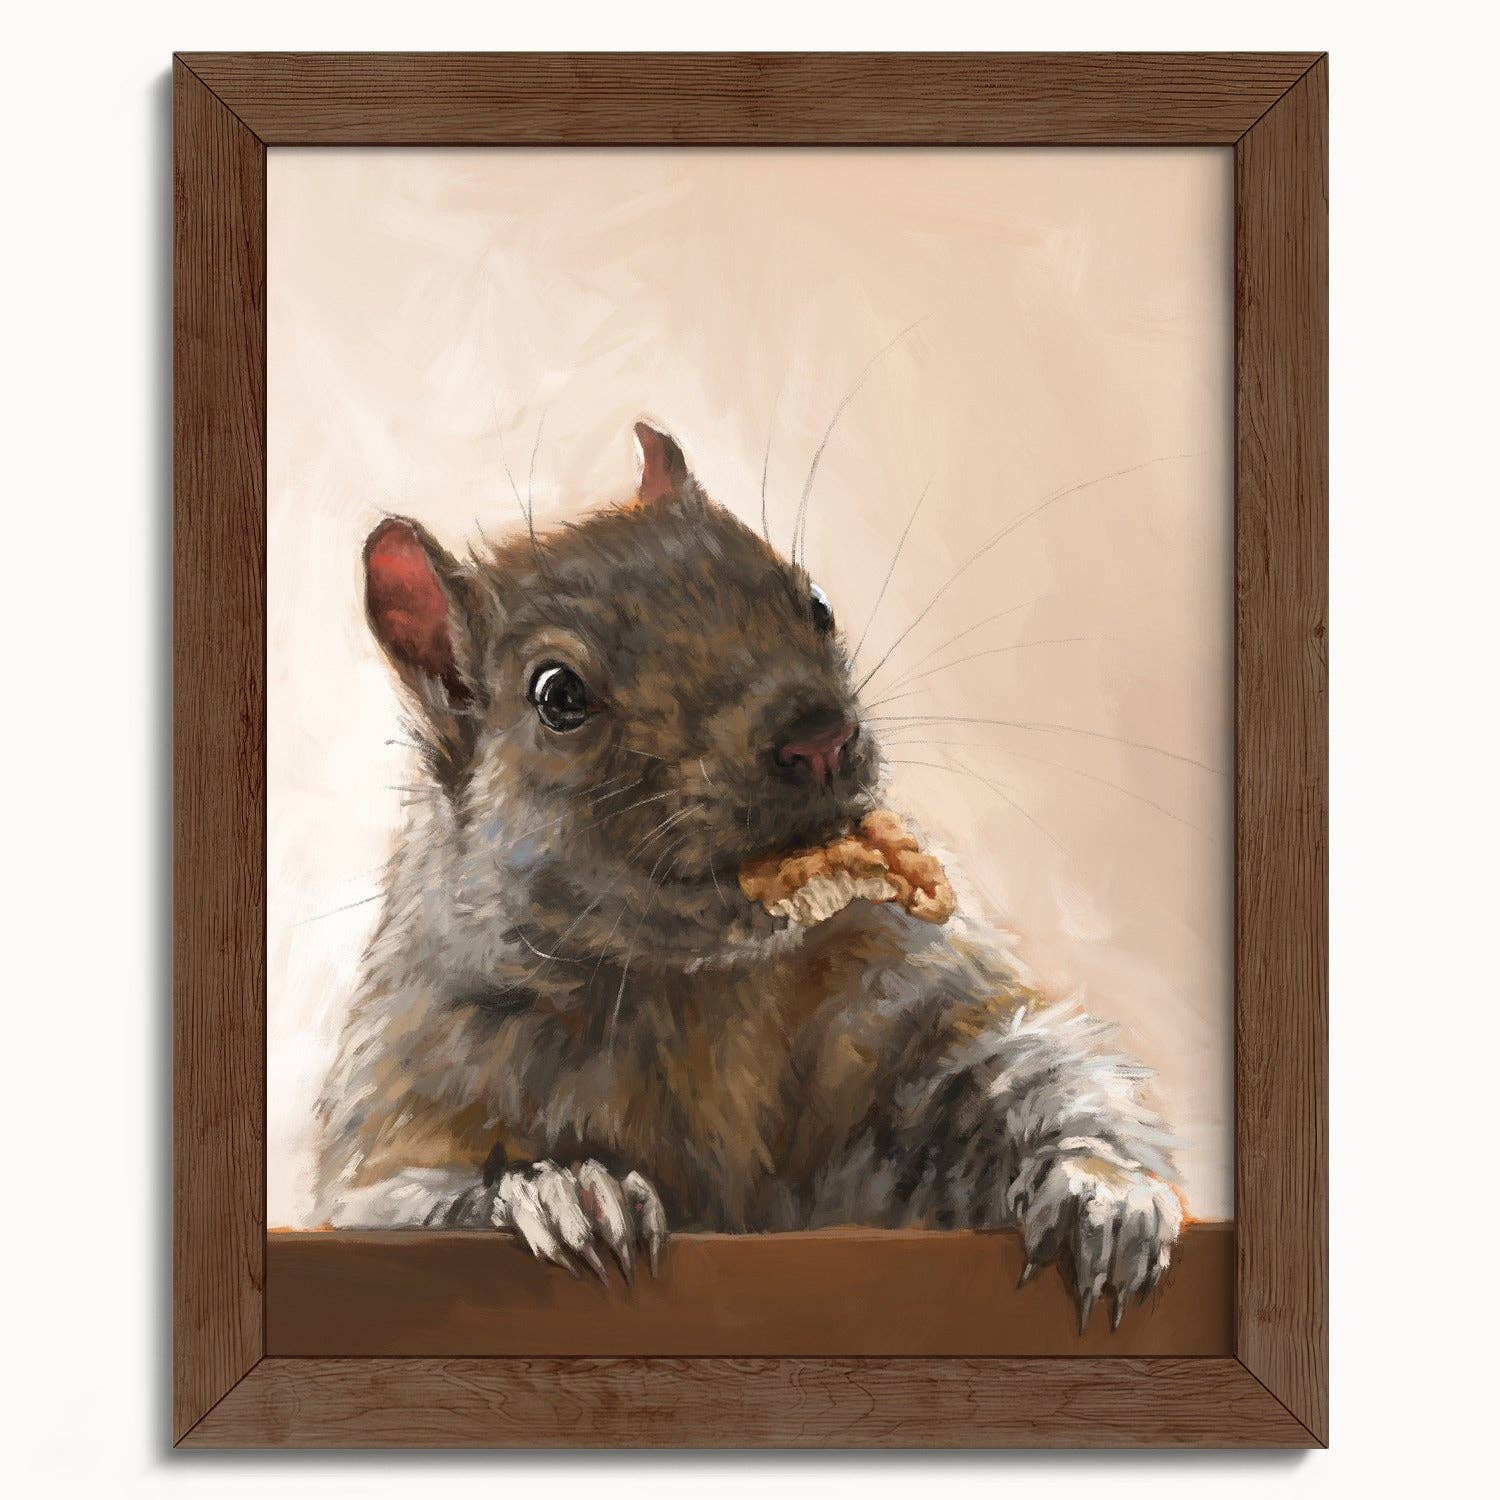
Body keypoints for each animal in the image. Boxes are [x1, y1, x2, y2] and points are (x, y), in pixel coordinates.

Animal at [316, 421, 1181, 1330]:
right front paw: (561, 1191)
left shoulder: (902, 994)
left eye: (818, 604)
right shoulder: (410, 1093)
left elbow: (1023, 1063)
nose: (820, 735)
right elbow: (394, 1197)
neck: (701, 984)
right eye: (557, 694)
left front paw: (1104, 1191)